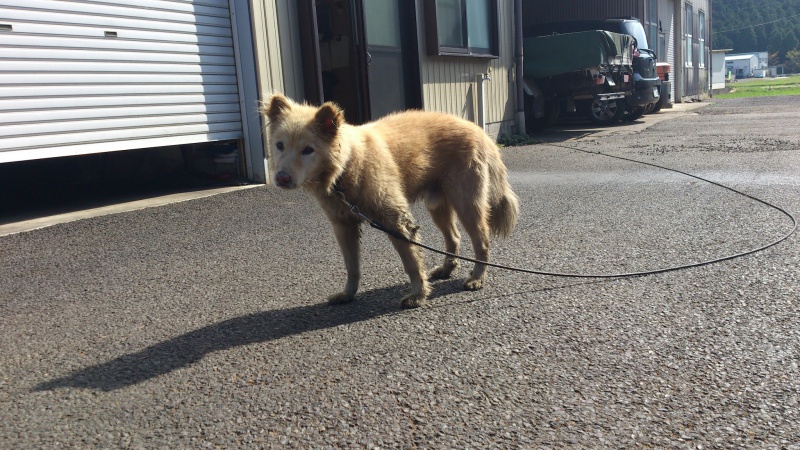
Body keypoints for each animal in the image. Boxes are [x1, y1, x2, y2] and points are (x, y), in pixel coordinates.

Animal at [262, 93, 520, 308]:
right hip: (437, 204)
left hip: (466, 202)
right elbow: (352, 266)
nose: (281, 178)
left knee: (481, 242)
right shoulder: (343, 225)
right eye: (279, 145)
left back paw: (477, 278)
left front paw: (418, 295)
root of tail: (478, 130)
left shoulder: (395, 221)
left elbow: (412, 263)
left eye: (308, 149)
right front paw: (347, 294)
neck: (347, 166)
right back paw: (446, 269)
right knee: (454, 237)